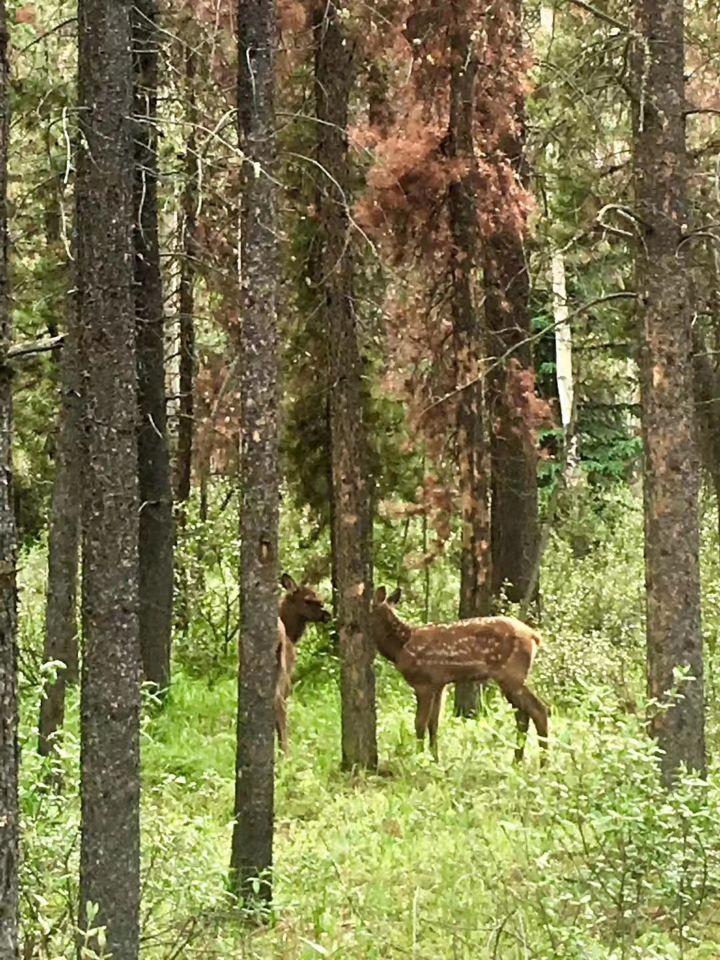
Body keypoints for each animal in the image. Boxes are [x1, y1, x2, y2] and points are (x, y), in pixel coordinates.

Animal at [372, 584, 552, 764]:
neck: (400, 647)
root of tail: (535, 636)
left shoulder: (424, 682)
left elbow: (419, 723)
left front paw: (419, 759)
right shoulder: (440, 684)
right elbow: (434, 723)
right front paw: (435, 760)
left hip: (511, 674)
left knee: (538, 710)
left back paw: (543, 763)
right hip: (512, 677)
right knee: (523, 715)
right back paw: (518, 761)